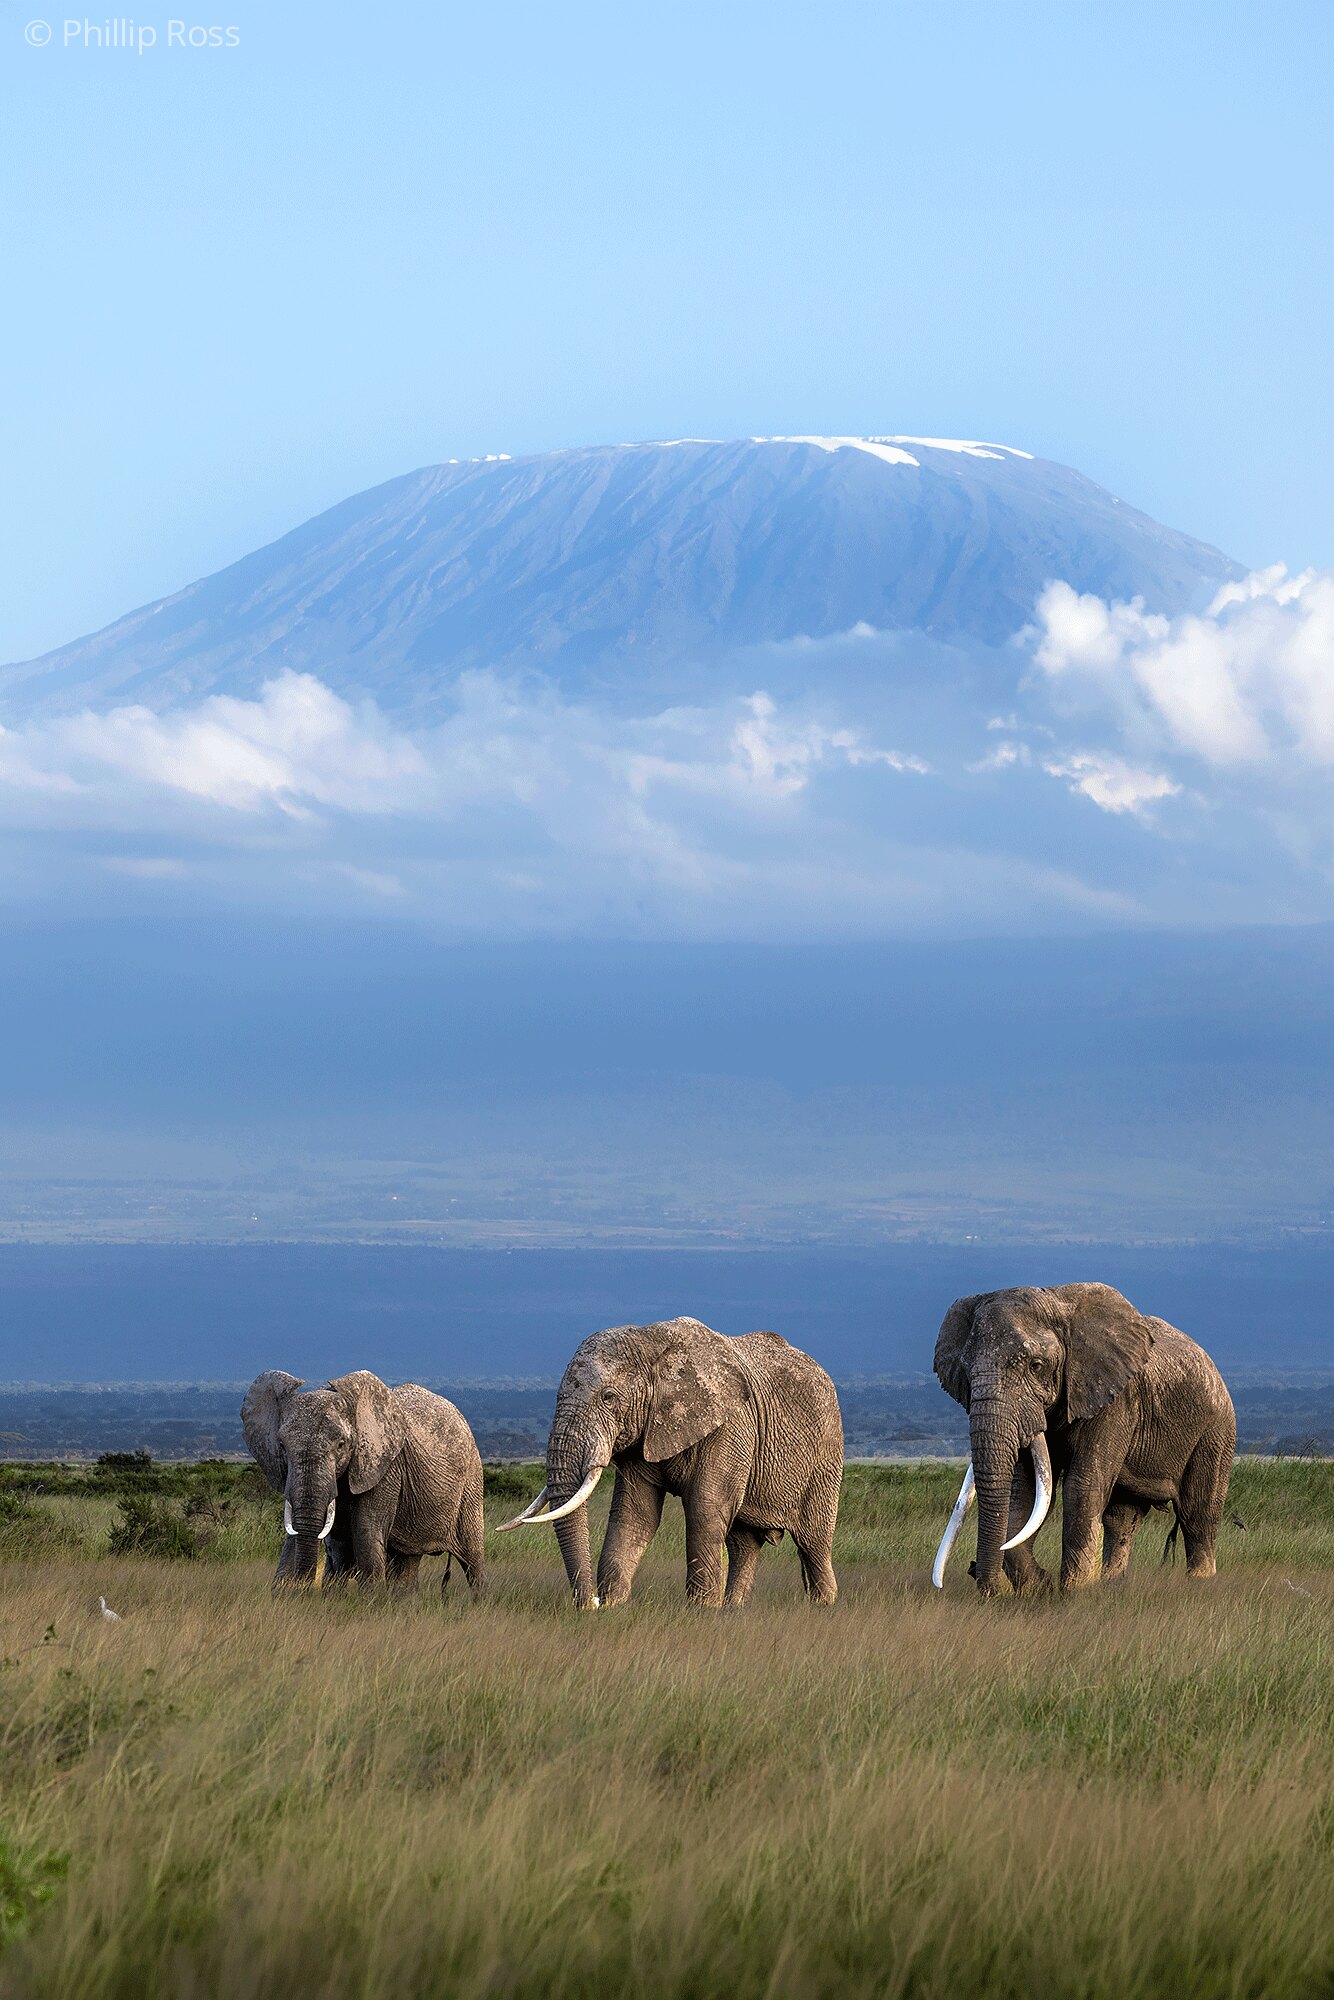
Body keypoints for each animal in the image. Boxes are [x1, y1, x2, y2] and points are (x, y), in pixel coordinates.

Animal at [241, 1369, 486, 1595]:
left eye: (341, 1444)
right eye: (282, 1446)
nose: (303, 1586)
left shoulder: (384, 1466)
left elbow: (366, 1530)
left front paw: (371, 1599)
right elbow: (328, 1538)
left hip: (472, 1480)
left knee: (472, 1557)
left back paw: (479, 1602)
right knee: (407, 1562)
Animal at [498, 1316, 843, 1609]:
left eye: (608, 1397)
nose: (590, 1605)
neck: (650, 1341)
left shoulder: (731, 1424)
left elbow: (705, 1508)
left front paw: (701, 1613)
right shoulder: (643, 1434)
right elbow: (635, 1514)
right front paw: (614, 1607)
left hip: (827, 1452)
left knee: (813, 1540)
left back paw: (822, 1607)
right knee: (743, 1544)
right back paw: (734, 1610)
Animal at [930, 1284, 1235, 1596]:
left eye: (1036, 1366)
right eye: (966, 1372)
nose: (978, 1574)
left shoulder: (1115, 1399)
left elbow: (1082, 1486)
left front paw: (1072, 1592)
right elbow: (1028, 1491)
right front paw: (1040, 1585)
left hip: (1216, 1429)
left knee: (1198, 1512)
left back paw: (1200, 1581)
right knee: (1123, 1518)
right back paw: (1112, 1585)